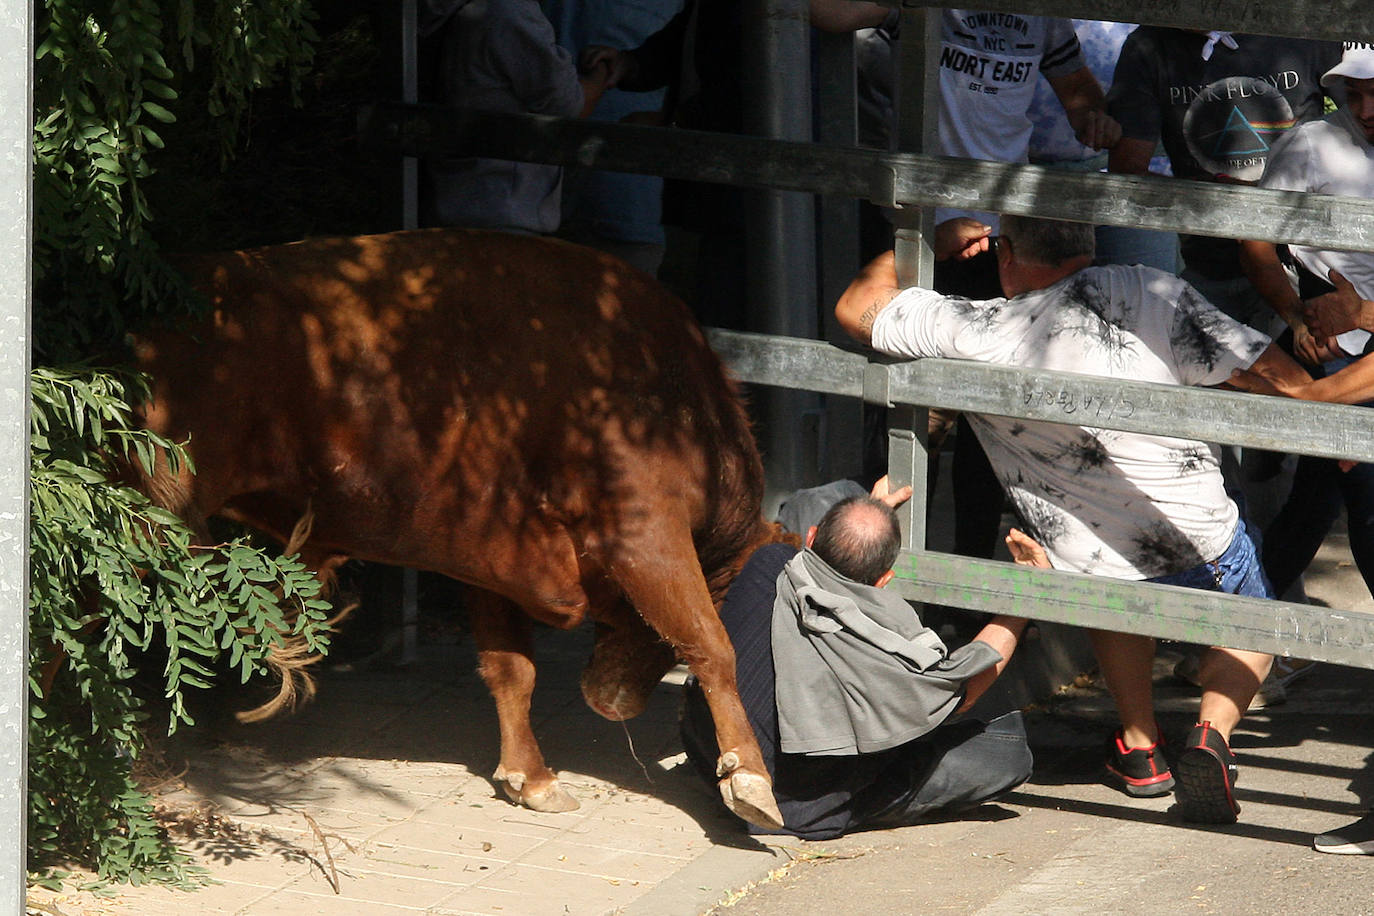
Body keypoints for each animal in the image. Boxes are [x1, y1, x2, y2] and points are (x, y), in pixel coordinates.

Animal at [138, 227, 791, 829]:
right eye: (736, 596)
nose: (612, 702)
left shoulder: (495, 560)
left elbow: (513, 670)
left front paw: (530, 777)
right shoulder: (646, 534)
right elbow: (710, 642)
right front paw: (751, 782)